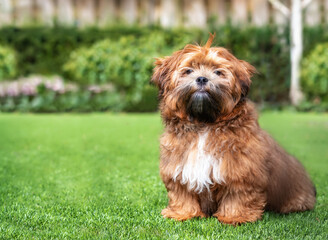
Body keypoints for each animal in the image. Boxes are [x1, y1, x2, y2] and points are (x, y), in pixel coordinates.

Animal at [151, 33, 316, 225]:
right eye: (188, 71)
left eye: (218, 72)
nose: (202, 79)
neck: (204, 124)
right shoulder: (178, 167)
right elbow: (181, 192)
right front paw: (182, 213)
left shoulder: (241, 170)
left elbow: (237, 194)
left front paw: (234, 216)